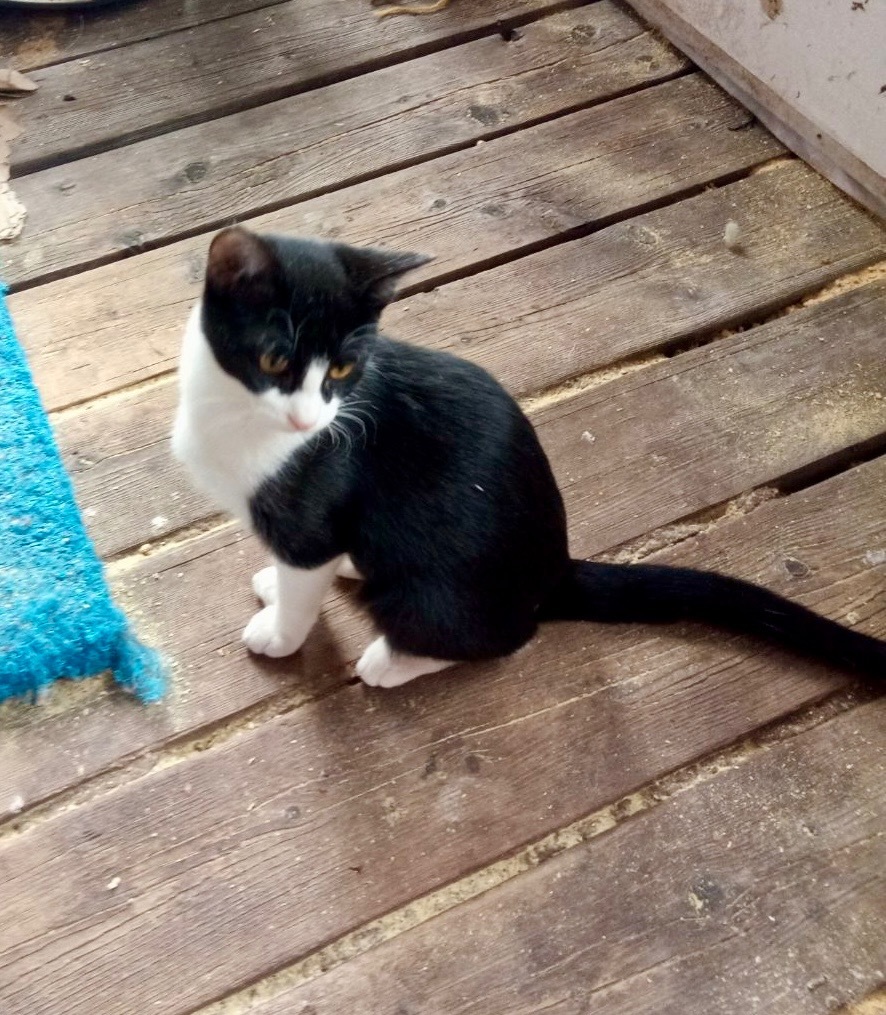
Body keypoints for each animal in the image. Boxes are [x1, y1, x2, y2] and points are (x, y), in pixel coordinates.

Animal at [174, 228, 884, 690]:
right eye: (274, 360)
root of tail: (555, 570)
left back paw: (392, 661)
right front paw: (277, 588)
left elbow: (303, 584)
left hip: (434, 593)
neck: (234, 414)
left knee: (506, 636)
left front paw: (279, 635)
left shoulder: (310, 517)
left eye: (344, 369)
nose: (309, 421)